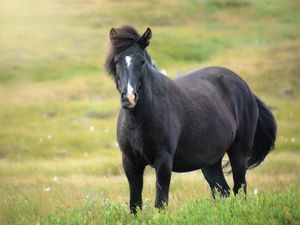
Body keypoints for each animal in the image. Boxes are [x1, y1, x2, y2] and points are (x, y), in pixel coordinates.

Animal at [103, 25, 276, 214]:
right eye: (117, 61)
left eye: (141, 61)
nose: (129, 98)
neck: (139, 121)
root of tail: (245, 87)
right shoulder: (130, 163)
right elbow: (135, 204)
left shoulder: (163, 162)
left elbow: (160, 203)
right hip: (211, 162)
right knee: (222, 191)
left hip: (239, 153)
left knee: (239, 188)